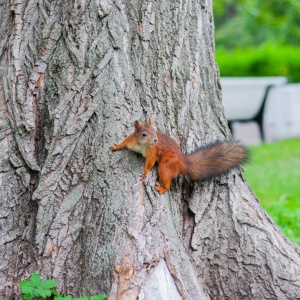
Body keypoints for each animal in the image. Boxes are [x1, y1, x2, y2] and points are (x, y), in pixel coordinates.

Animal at [109, 119, 247, 195]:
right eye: (144, 134)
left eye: (155, 132)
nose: (155, 140)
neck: (141, 145)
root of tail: (181, 163)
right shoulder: (131, 141)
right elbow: (124, 143)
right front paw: (116, 146)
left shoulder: (152, 151)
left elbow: (150, 162)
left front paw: (145, 172)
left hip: (166, 166)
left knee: (167, 182)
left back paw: (161, 189)